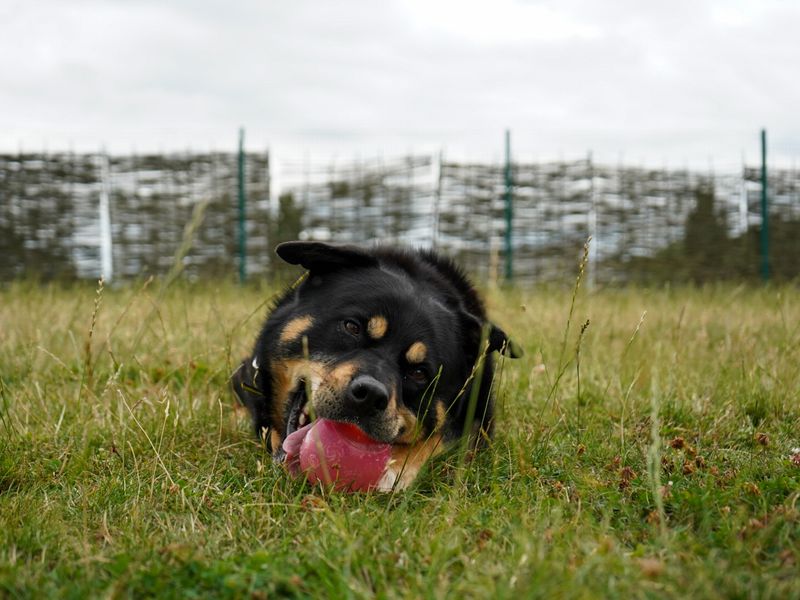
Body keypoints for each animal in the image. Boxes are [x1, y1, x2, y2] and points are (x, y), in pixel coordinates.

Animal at [231, 241, 520, 490]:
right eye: (352, 327)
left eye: (419, 372)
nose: (369, 395)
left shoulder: (479, 421)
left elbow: (437, 442)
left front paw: (397, 472)